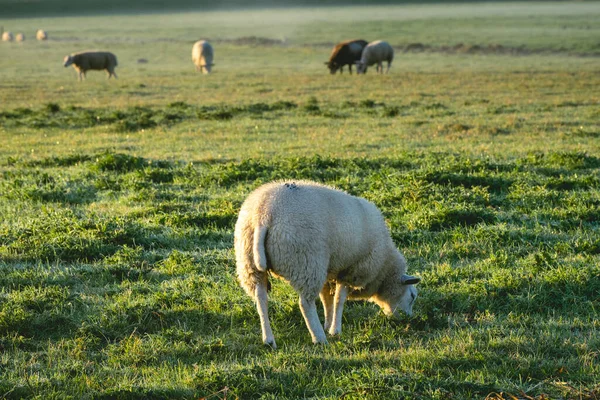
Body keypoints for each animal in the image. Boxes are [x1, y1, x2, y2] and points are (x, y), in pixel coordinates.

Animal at [232, 180, 420, 348]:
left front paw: (329, 324)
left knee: (261, 299)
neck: (383, 268)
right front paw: (335, 329)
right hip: (307, 262)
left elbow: (326, 298)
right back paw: (318, 338)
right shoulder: (351, 270)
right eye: (412, 296)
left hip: (250, 264)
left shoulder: (329, 269)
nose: (408, 319)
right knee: (305, 303)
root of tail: (263, 215)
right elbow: (339, 300)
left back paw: (269, 340)